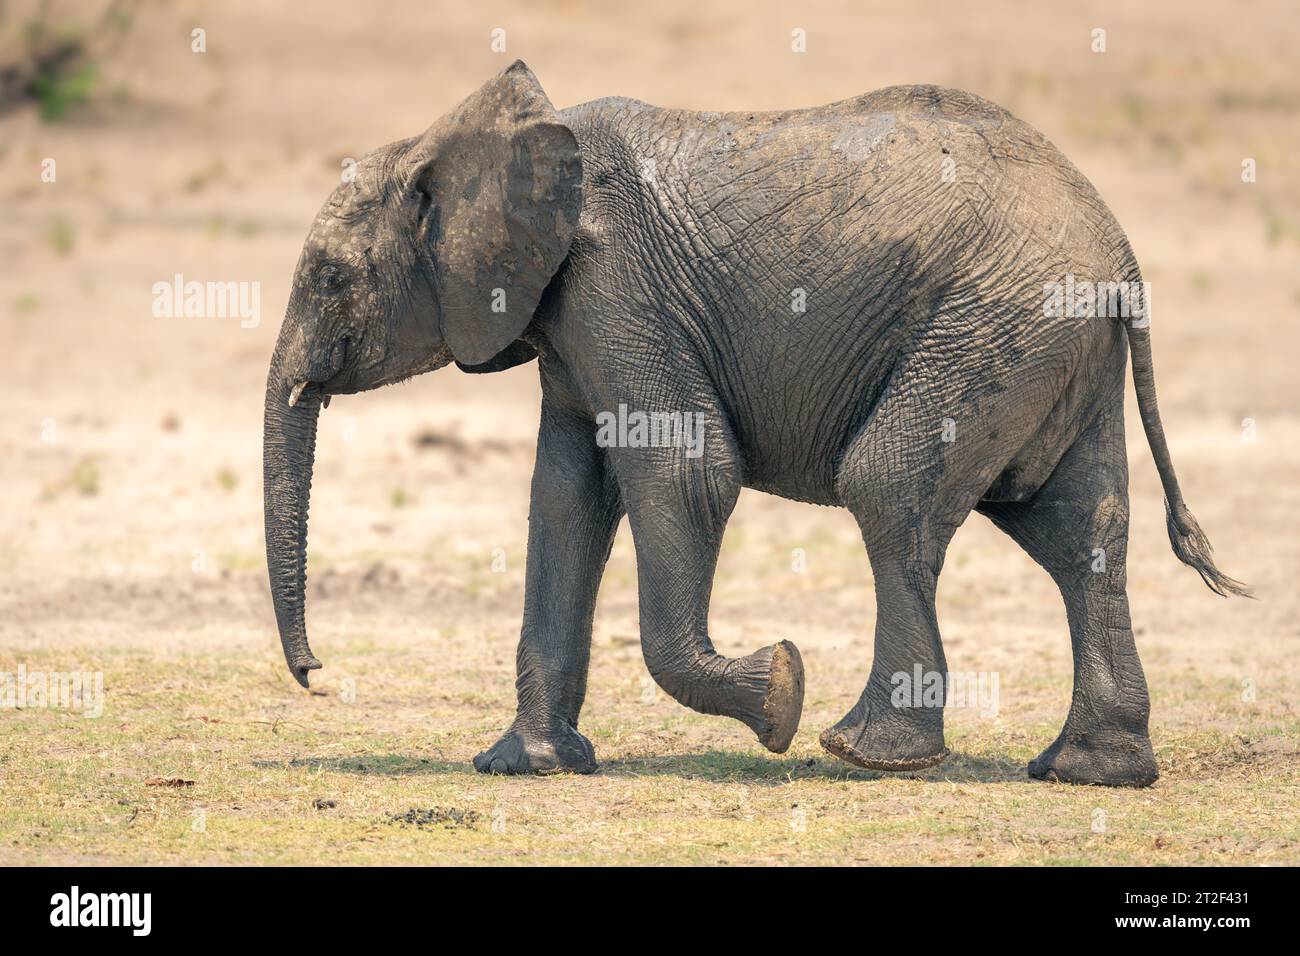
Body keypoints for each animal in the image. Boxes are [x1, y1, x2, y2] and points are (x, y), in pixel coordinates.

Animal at [263, 60, 1248, 788]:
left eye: (332, 277)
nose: (316, 676)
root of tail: (1121, 252)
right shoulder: (569, 319)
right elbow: (566, 501)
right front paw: (523, 767)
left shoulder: (619, 288)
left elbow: (684, 474)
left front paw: (779, 693)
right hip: (1054, 346)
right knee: (1077, 530)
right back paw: (1089, 773)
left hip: (993, 326)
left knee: (888, 488)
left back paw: (867, 752)